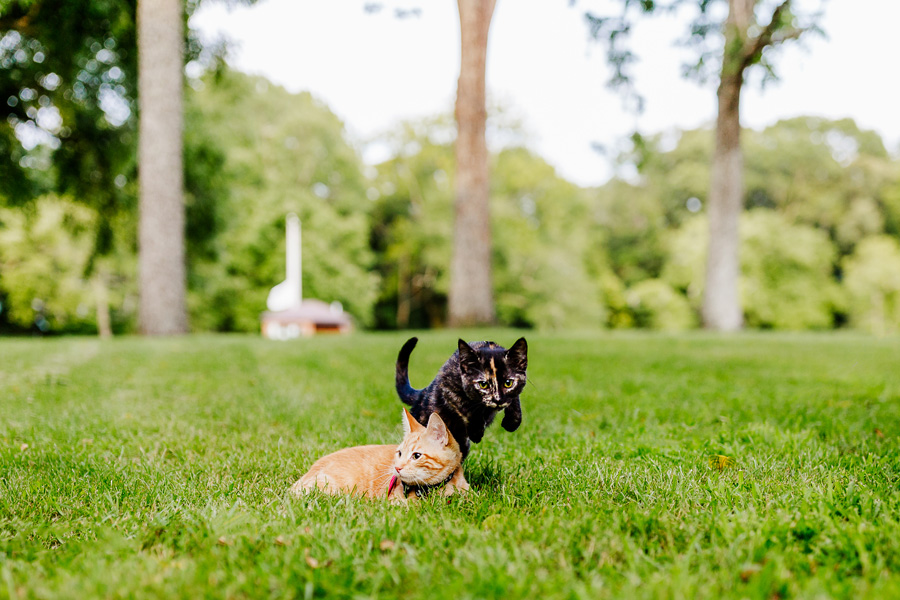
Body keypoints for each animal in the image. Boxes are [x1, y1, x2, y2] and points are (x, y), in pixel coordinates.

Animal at [394, 338, 528, 460]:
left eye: (508, 383)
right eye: (483, 384)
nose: (498, 399)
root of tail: (422, 393)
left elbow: (515, 399)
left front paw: (512, 422)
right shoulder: (448, 389)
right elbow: (466, 407)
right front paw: (476, 431)